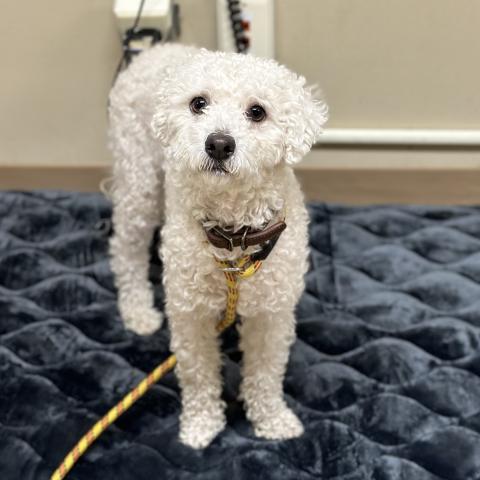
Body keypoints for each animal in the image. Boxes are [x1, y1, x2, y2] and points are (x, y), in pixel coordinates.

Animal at [108, 44, 328, 449]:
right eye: (198, 103)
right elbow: (198, 374)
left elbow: (266, 373)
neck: (233, 236)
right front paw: (201, 425)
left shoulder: (271, 314)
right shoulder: (189, 313)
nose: (219, 143)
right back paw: (137, 311)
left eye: (257, 111)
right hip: (138, 181)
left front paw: (272, 420)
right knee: (125, 249)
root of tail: (154, 49)